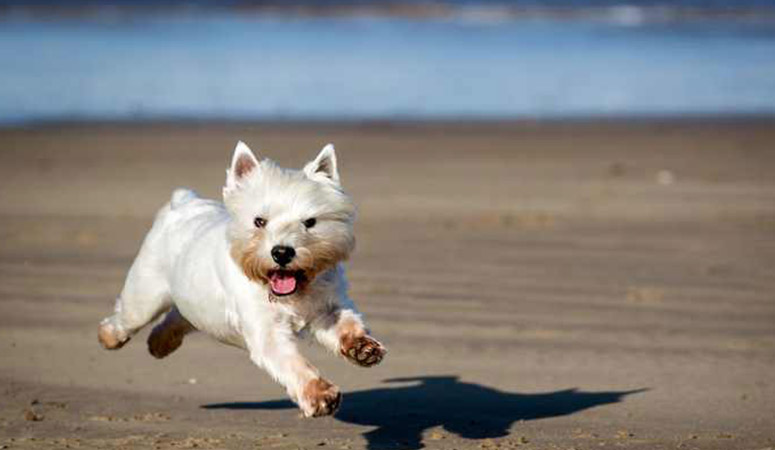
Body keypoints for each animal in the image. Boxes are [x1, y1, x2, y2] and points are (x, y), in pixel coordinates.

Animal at [98, 142, 386, 416]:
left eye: (310, 222)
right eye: (259, 221)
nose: (282, 252)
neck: (291, 295)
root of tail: (184, 203)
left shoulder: (327, 309)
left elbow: (346, 323)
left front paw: (362, 347)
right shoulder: (266, 332)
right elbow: (294, 364)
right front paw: (319, 394)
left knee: (178, 316)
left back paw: (160, 343)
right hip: (144, 296)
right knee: (127, 319)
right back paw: (110, 337)